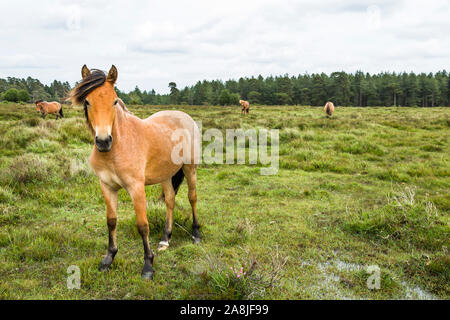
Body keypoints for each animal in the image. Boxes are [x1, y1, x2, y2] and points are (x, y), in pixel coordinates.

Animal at [70, 65, 200, 280]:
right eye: (87, 101)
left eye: (114, 101)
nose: (103, 141)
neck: (119, 146)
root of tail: (184, 116)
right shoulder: (107, 186)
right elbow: (111, 221)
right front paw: (109, 258)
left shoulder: (136, 188)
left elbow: (142, 225)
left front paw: (148, 266)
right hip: (165, 175)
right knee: (170, 200)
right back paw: (165, 239)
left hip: (190, 169)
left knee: (192, 197)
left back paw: (196, 234)